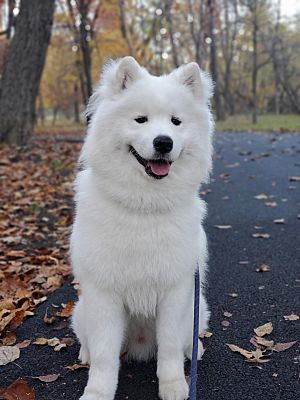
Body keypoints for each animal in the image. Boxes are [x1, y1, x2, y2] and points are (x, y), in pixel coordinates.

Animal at [71, 57, 213, 400]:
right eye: (140, 120)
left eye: (176, 122)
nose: (164, 142)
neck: (144, 207)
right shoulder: (104, 295)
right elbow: (106, 357)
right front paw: (97, 393)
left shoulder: (175, 291)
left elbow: (170, 349)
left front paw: (175, 386)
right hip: (82, 310)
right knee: (88, 340)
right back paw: (85, 353)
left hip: (198, 306)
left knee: (187, 339)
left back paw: (194, 350)